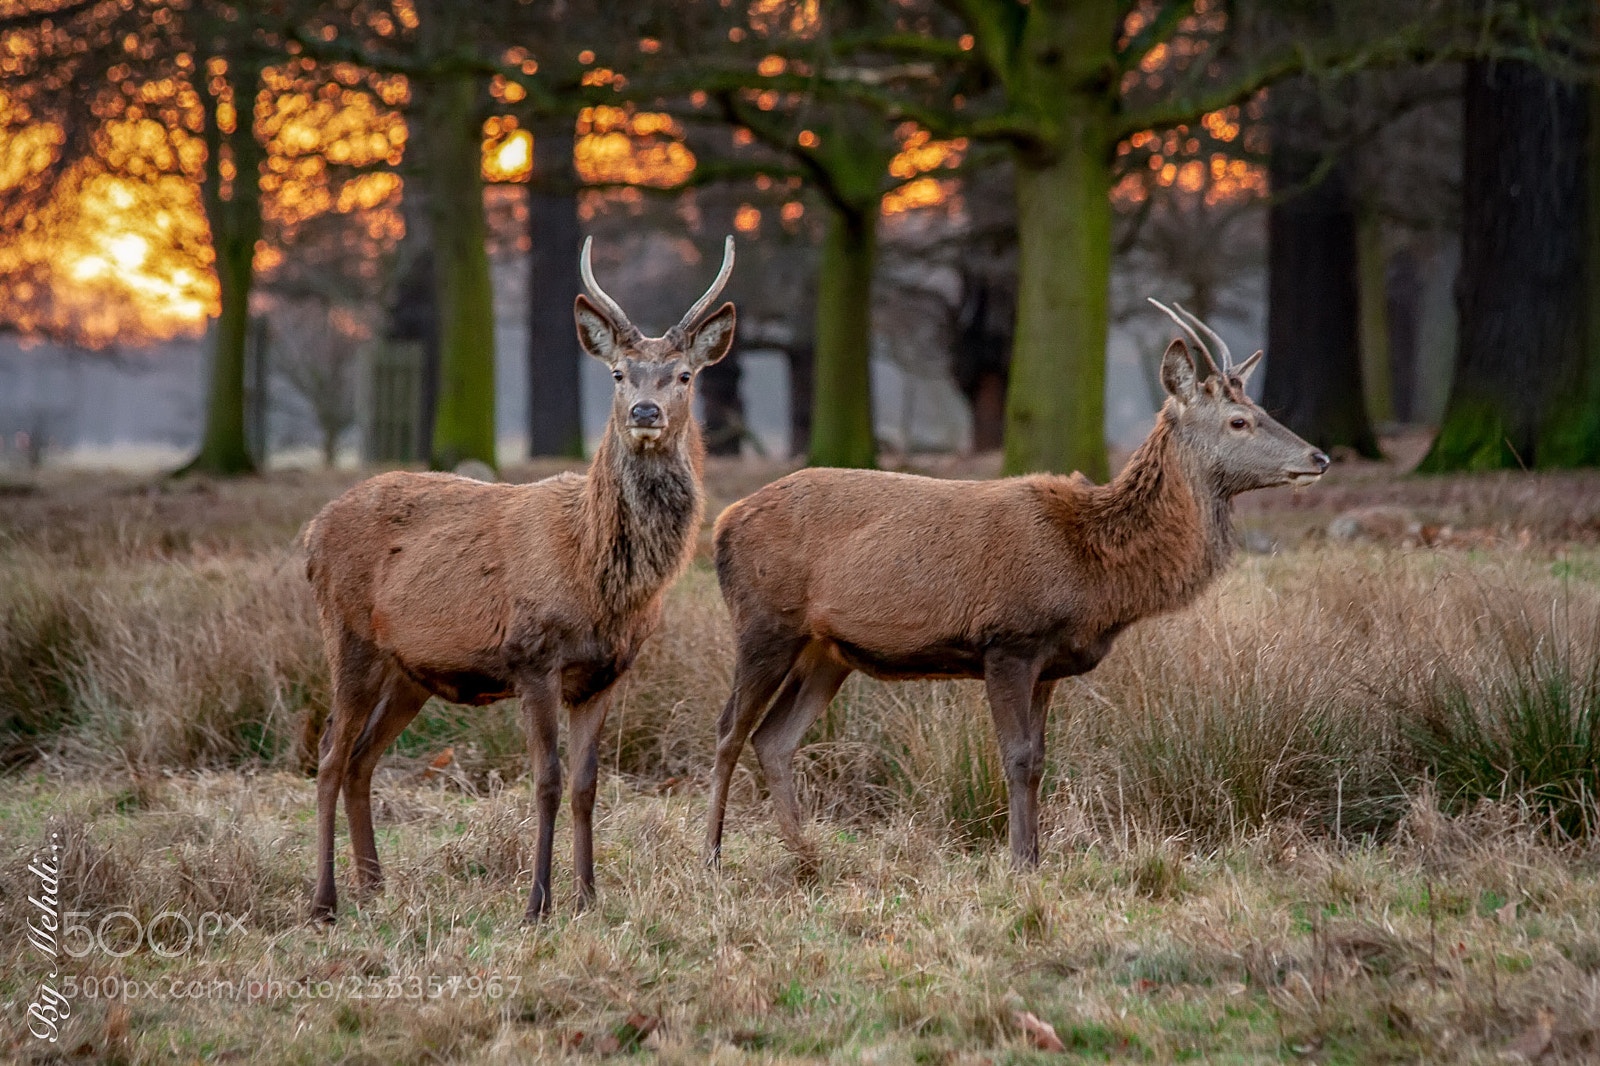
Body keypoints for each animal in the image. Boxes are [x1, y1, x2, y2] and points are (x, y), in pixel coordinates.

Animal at [303, 237, 736, 922]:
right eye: (619, 374)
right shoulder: (533, 656)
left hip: (409, 671)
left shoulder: (604, 673)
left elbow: (587, 784)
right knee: (326, 756)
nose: (645, 412)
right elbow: (547, 781)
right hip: (347, 637)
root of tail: (312, 534)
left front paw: (588, 897)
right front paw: (537, 903)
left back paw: (375, 885)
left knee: (360, 759)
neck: (598, 578)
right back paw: (325, 901)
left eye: (685, 375)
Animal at [704, 301, 1329, 869]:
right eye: (1239, 421)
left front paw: (1034, 858)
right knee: (730, 729)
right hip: (764, 621)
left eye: (1261, 408)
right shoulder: (1009, 640)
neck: (1095, 574)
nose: (1319, 456)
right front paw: (1018, 863)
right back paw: (712, 855)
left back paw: (808, 855)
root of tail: (723, 523)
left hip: (827, 651)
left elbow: (1041, 759)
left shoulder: (1048, 663)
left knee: (774, 739)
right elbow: (1018, 757)